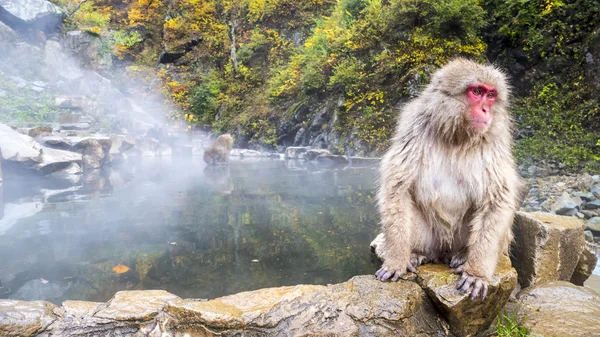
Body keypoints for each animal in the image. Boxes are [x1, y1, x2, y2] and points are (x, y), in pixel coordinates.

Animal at [376, 57, 520, 300]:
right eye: (477, 91)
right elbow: (398, 189)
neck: (456, 135)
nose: (485, 109)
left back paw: (462, 255)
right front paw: (396, 260)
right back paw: (417, 253)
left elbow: (497, 199)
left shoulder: (495, 139)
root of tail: (443, 250)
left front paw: (477, 273)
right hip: (432, 238)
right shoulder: (413, 129)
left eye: (491, 95)